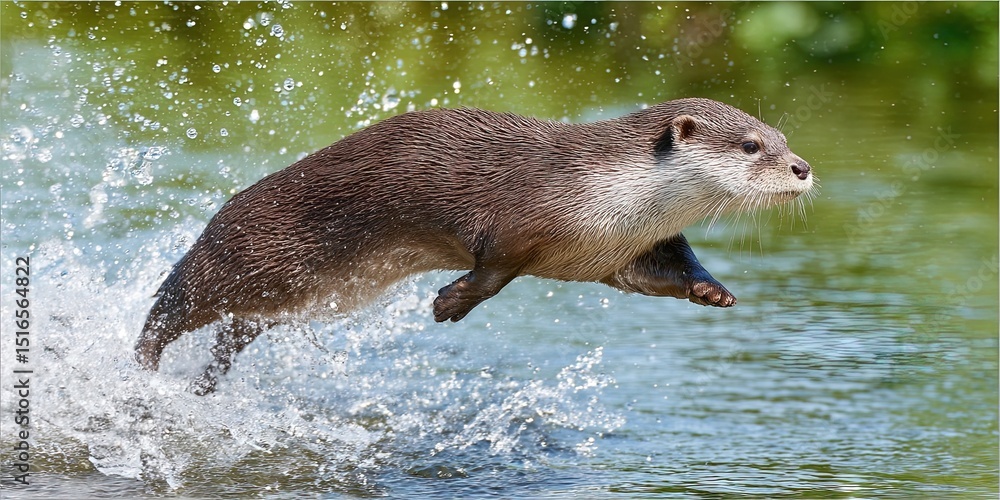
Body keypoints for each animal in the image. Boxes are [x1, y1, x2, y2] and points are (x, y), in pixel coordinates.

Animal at [135, 97, 813, 394]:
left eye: (782, 137)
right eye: (751, 145)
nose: (803, 167)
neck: (607, 196)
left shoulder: (614, 252)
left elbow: (664, 270)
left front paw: (713, 290)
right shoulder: (520, 221)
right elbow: (493, 271)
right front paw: (449, 305)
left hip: (285, 298)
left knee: (232, 329)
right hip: (246, 256)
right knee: (171, 303)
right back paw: (140, 370)